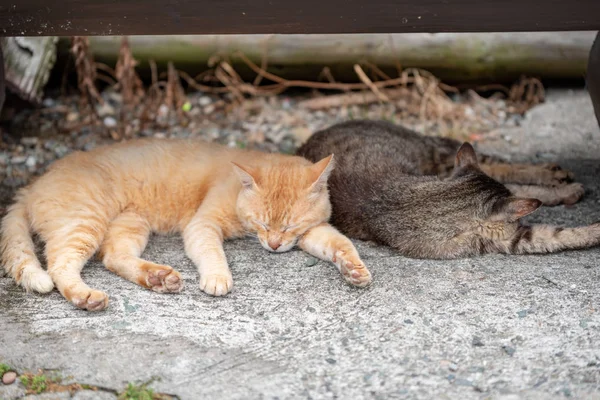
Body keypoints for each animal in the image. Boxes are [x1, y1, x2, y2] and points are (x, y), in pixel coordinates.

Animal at [0, 139, 372, 310]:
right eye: (263, 223)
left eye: (290, 226)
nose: (274, 245)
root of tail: (33, 183)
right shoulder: (202, 225)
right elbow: (212, 254)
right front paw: (218, 278)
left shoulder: (312, 232)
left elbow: (340, 243)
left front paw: (354, 269)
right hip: (86, 221)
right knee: (60, 264)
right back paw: (86, 296)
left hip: (130, 224)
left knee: (113, 258)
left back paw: (158, 278)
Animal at [296, 120, 600, 260]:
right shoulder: (506, 239)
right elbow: (559, 235)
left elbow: (523, 189)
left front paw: (560, 192)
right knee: (502, 169)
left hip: (440, 154)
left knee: (500, 164)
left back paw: (555, 172)